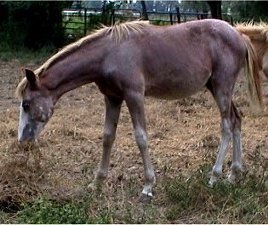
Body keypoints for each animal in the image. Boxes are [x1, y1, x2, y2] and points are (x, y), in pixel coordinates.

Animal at [14, 18, 262, 200]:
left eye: (26, 104)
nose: (22, 141)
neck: (109, 53)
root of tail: (238, 34)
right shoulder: (112, 98)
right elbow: (108, 136)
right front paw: (97, 182)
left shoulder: (134, 95)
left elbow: (141, 137)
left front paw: (148, 186)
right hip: (216, 87)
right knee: (237, 119)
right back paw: (233, 174)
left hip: (222, 86)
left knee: (226, 126)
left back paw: (214, 176)